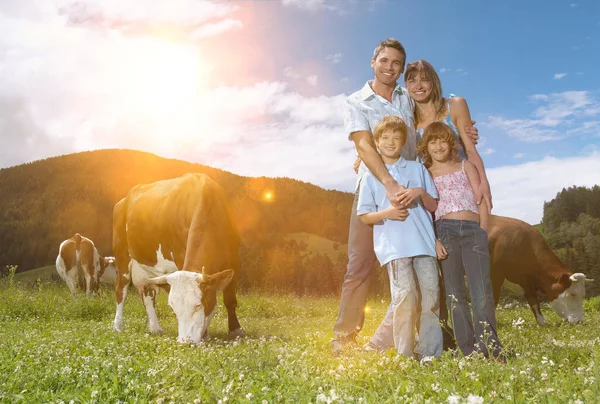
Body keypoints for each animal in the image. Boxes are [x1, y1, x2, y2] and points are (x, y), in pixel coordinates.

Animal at [111, 172, 243, 346]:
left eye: (199, 304)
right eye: (173, 308)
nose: (185, 341)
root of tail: (124, 200)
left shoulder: (233, 258)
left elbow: (230, 300)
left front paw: (236, 330)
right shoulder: (180, 255)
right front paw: (205, 335)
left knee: (147, 293)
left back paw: (155, 328)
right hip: (122, 256)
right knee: (121, 289)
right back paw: (118, 325)